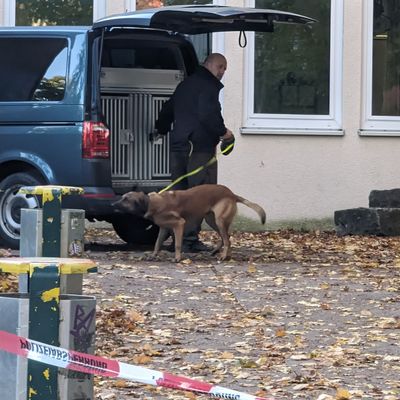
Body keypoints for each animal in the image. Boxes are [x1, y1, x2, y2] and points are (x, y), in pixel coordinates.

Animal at [111, 184, 266, 262]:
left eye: (125, 199)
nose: (112, 204)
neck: (151, 203)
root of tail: (232, 194)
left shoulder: (179, 224)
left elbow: (178, 244)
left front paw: (177, 258)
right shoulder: (164, 229)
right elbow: (157, 244)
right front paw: (153, 255)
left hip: (219, 220)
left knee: (227, 239)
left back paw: (223, 256)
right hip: (212, 220)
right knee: (226, 238)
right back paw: (220, 253)